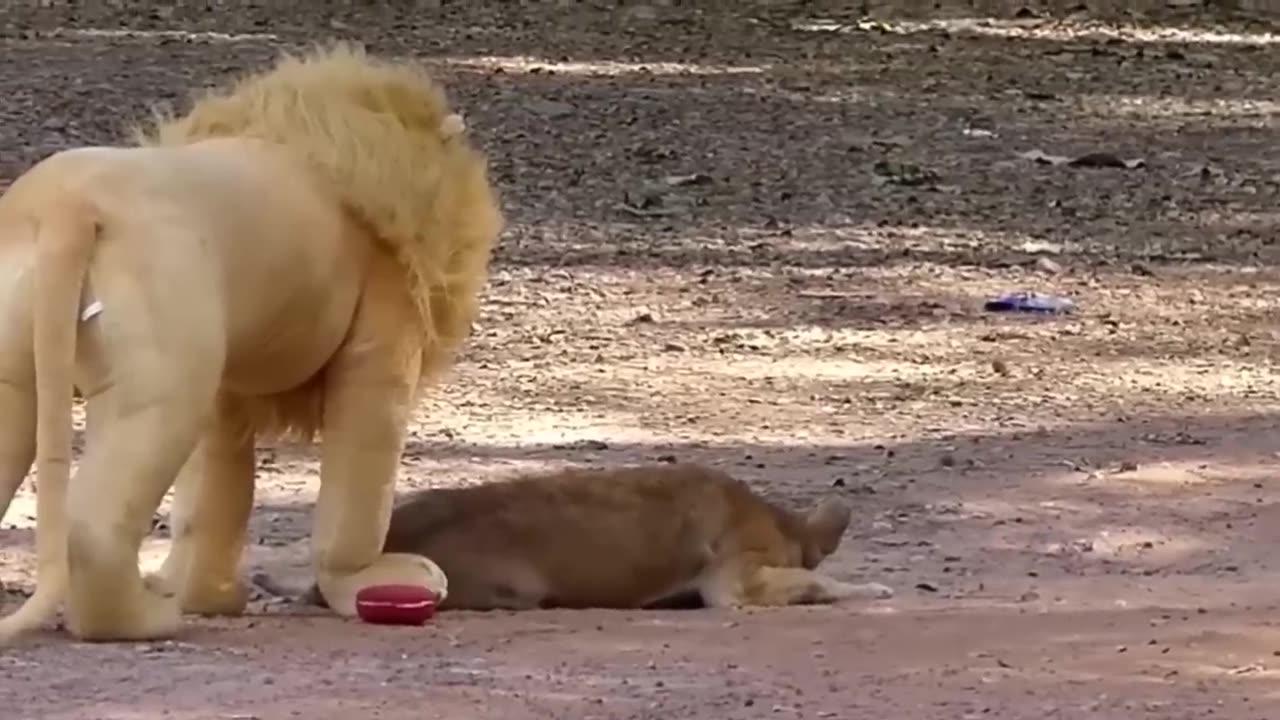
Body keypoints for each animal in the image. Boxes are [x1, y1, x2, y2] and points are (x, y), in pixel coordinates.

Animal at [0, 43, 504, 638]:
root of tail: (70, 207)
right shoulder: (385, 321)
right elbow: (361, 470)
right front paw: (371, 580)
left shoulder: (230, 380)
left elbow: (216, 491)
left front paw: (208, 595)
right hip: (164, 363)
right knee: (97, 522)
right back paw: (146, 618)